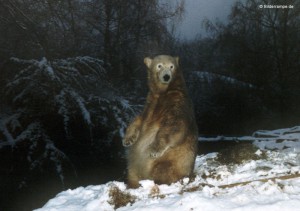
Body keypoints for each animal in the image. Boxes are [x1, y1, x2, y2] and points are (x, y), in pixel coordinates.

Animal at [123, 54, 198, 188]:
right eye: (159, 65)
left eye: (172, 66)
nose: (166, 76)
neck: (165, 92)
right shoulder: (150, 103)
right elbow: (138, 119)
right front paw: (128, 139)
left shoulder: (178, 103)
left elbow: (173, 126)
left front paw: (154, 150)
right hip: (133, 167)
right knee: (131, 171)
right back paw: (133, 183)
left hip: (173, 161)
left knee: (162, 170)